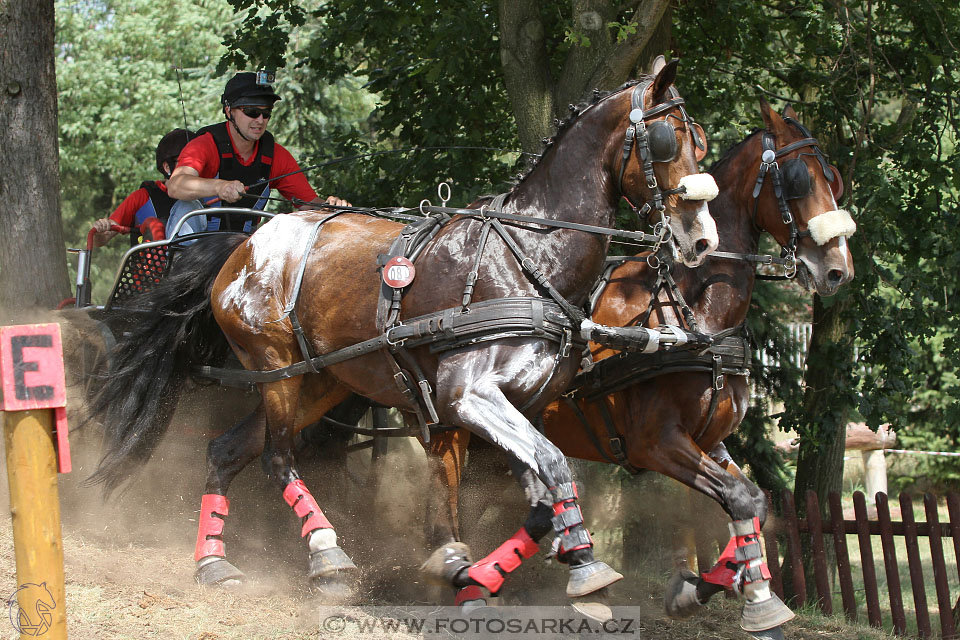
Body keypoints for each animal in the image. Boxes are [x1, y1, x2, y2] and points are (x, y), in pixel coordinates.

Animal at [86, 58, 720, 616]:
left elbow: (540, 494)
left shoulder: (520, 405)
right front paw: (580, 569)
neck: (526, 254)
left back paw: (214, 564)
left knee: (226, 450)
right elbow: (555, 466)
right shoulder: (468, 396)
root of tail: (243, 246)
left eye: (703, 141)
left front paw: (476, 573)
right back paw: (327, 556)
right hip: (275, 368)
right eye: (667, 140)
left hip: (321, 380)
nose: (702, 238)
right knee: (278, 457)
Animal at [426, 100, 856, 636]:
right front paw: (751, 601)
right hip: (461, 427)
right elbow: (736, 496)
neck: (690, 314)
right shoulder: (657, 443)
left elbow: (751, 500)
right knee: (446, 500)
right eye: (798, 179)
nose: (839, 269)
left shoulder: (710, 438)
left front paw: (713, 590)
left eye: (835, 179)